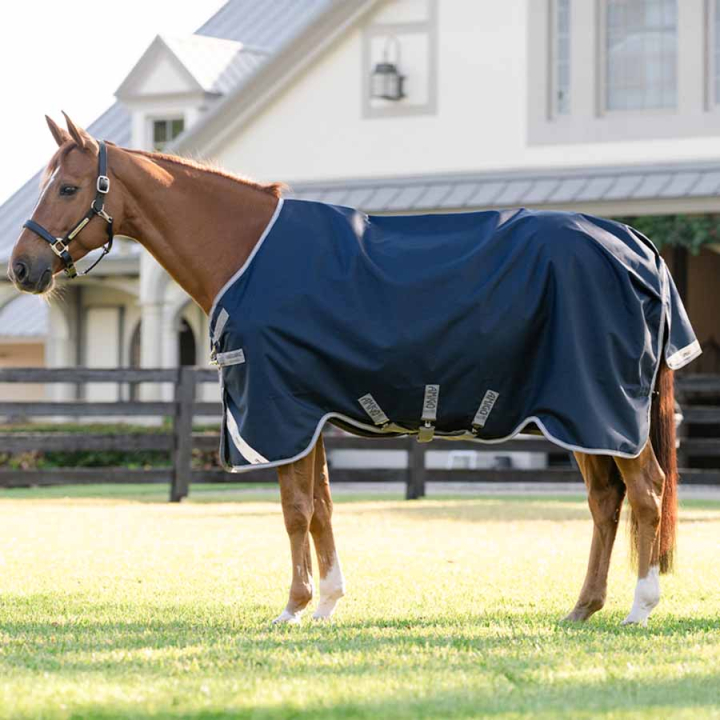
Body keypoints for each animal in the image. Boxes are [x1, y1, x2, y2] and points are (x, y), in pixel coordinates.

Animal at [8, 114, 697, 626]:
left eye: (67, 187)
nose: (20, 267)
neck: (246, 250)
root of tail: (637, 244)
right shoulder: (308, 414)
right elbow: (321, 507)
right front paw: (327, 603)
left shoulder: (280, 412)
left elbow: (294, 508)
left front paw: (293, 608)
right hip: (580, 418)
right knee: (606, 502)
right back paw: (583, 608)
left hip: (601, 410)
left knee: (645, 492)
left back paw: (639, 608)